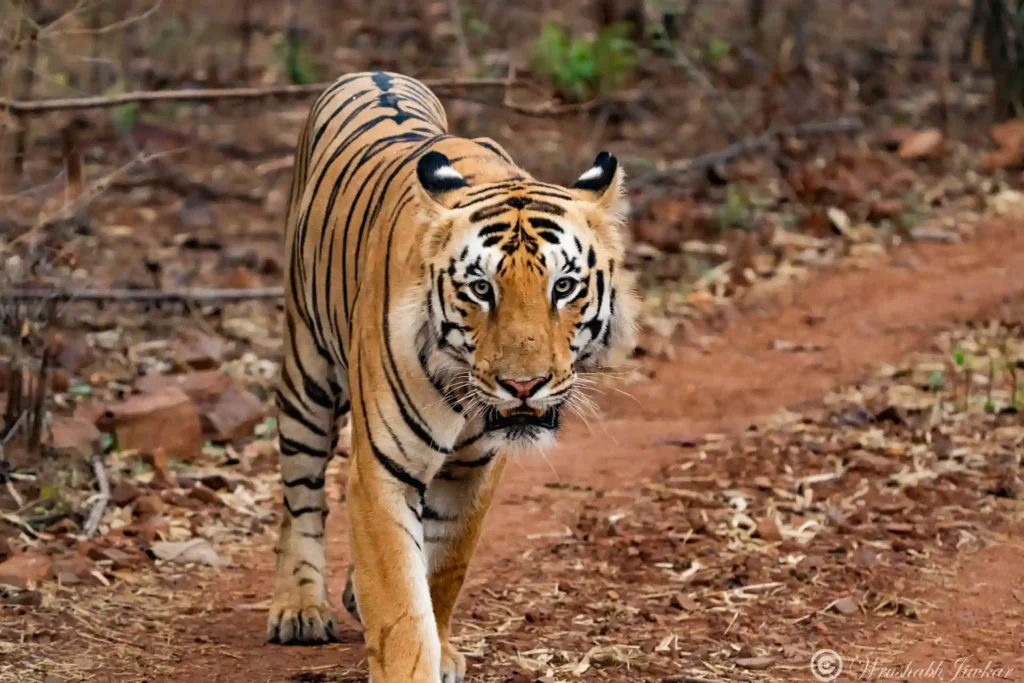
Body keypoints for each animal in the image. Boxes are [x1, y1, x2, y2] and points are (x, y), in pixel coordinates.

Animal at [270, 70, 638, 683]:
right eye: (480, 289)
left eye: (563, 286)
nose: (523, 386)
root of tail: (372, 72)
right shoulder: (383, 470)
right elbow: (400, 598)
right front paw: (411, 661)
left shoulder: (475, 470)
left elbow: (443, 568)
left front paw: (441, 650)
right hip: (306, 376)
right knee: (302, 499)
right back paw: (299, 607)